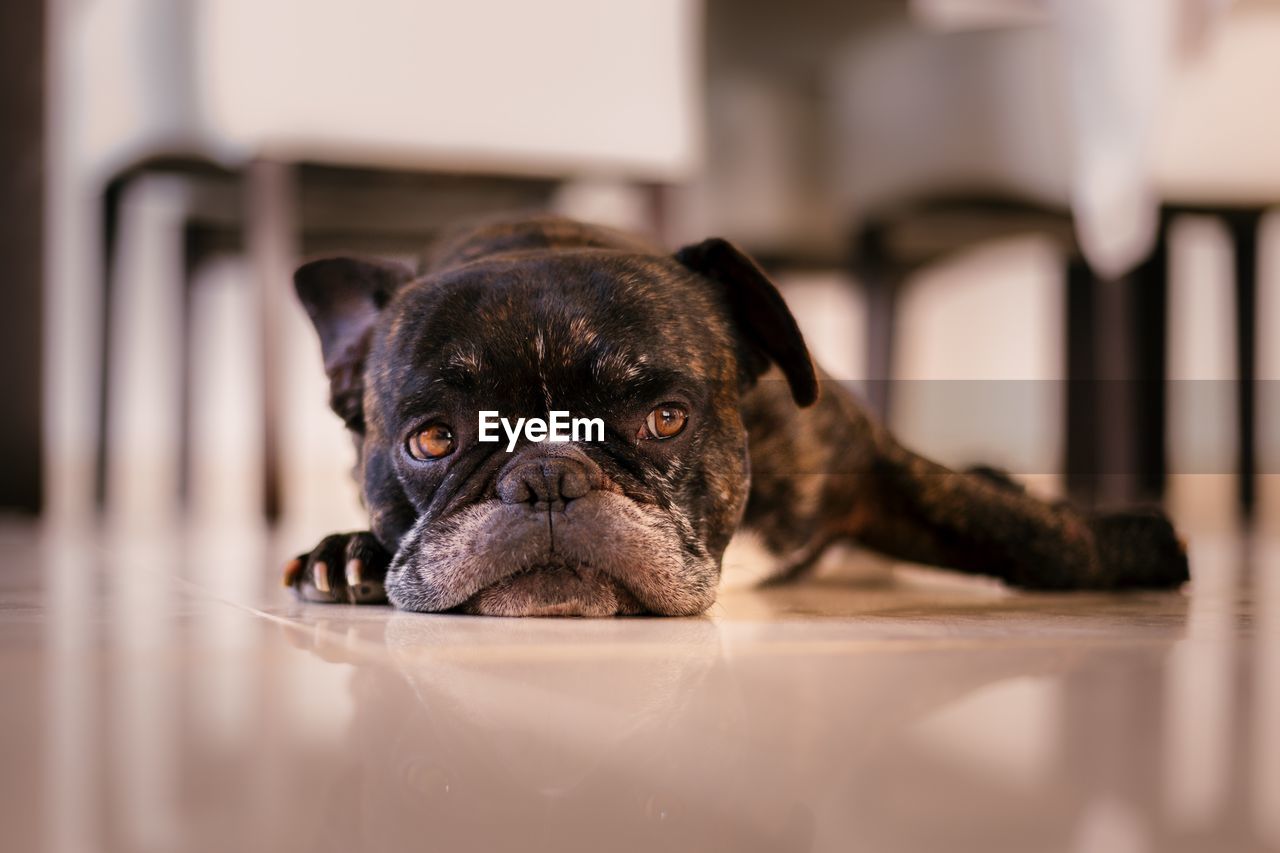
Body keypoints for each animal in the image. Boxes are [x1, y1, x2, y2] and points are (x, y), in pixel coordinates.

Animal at [282, 211, 1187, 612]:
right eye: (432, 439)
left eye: (666, 419)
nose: (547, 478)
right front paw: (353, 551)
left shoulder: (867, 466)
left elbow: (1017, 528)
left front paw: (1135, 543)